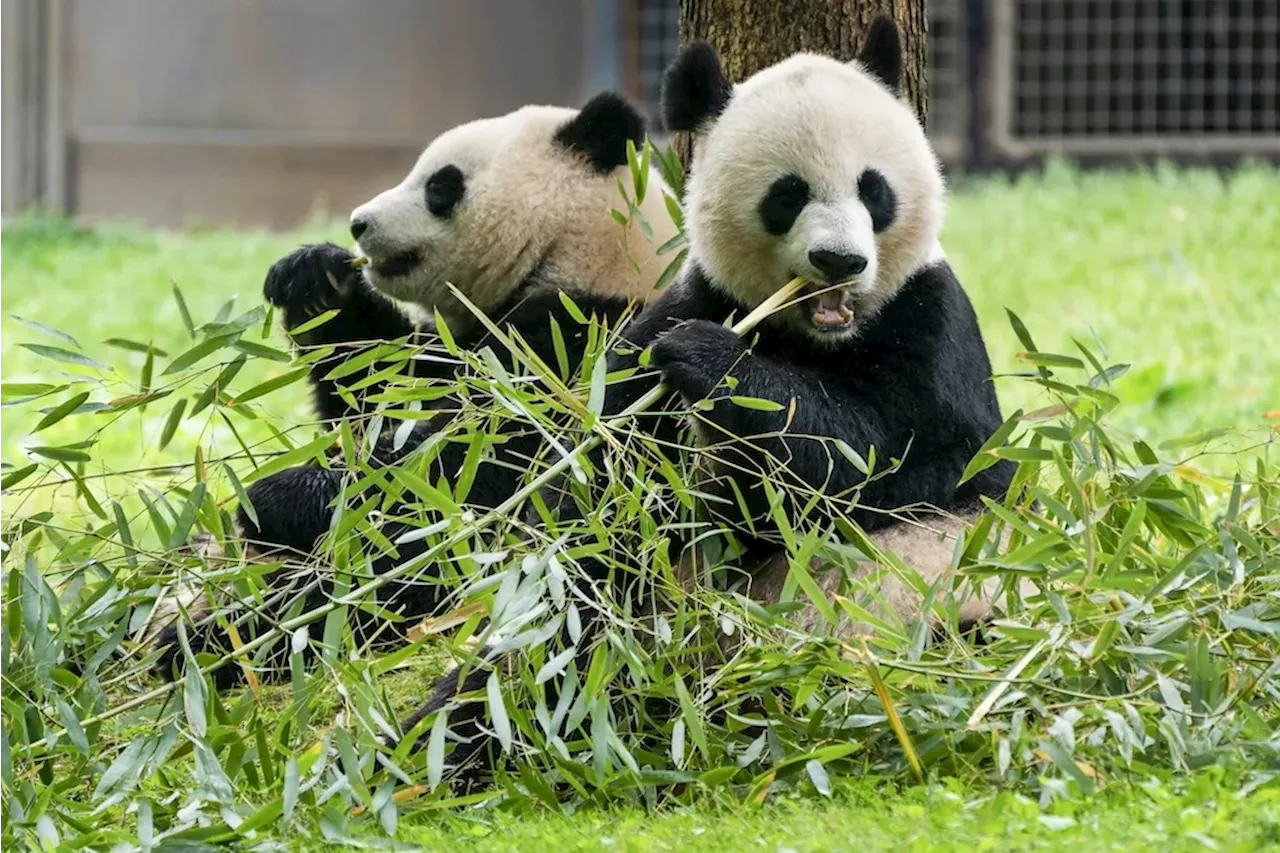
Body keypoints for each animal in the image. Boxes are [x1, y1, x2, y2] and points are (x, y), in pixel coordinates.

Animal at [148, 91, 680, 686]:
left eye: (440, 186)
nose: (357, 223)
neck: (582, 253)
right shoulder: (456, 342)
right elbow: (375, 389)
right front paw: (314, 278)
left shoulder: (582, 344)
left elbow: (472, 469)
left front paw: (275, 497)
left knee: (372, 590)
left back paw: (211, 643)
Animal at [394, 14, 1024, 783]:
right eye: (788, 194)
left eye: (874, 191)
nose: (840, 262)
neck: (814, 336)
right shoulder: (674, 314)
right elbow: (605, 494)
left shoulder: (932, 324)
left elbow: (894, 459)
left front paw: (713, 363)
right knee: (560, 640)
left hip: (931, 613)